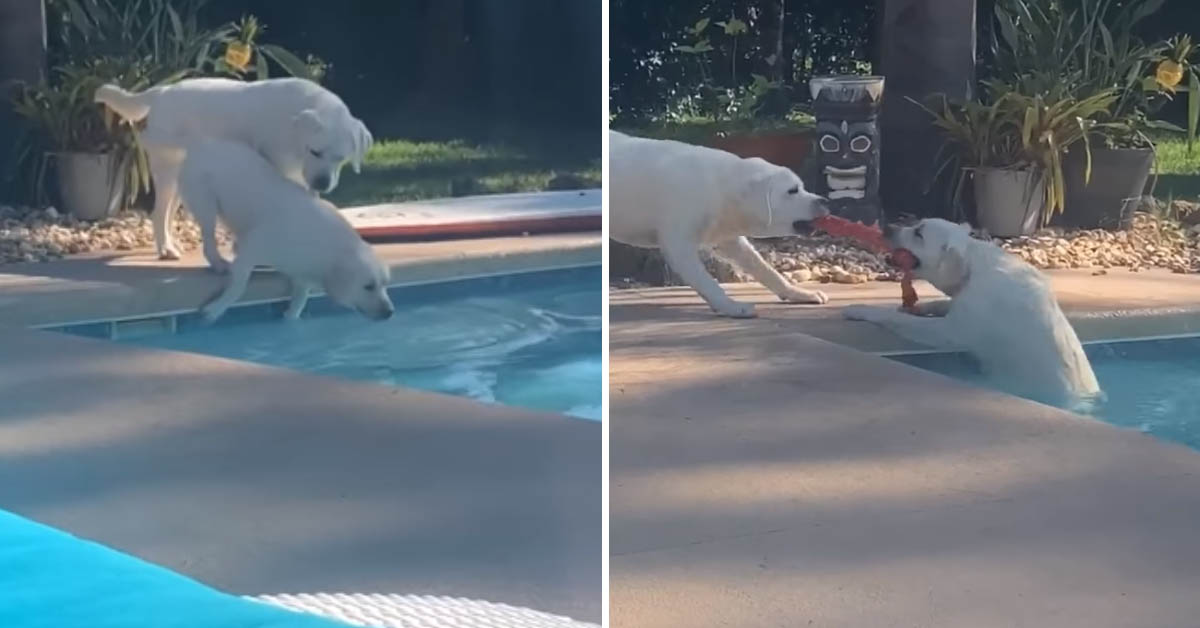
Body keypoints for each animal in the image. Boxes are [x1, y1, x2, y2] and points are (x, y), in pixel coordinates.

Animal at [95, 78, 369, 260]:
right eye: (315, 151)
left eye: (341, 158)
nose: (323, 182)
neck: (292, 125)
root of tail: (163, 90)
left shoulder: (304, 177)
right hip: (167, 171)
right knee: (159, 213)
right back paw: (167, 249)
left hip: (181, 178)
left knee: (168, 212)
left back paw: (171, 245)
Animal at [177, 138, 393, 324]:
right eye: (368, 286)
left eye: (385, 284)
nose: (390, 312)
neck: (326, 247)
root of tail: (203, 144)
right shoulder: (253, 249)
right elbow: (239, 286)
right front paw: (215, 309)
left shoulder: (303, 270)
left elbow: (301, 296)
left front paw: (291, 316)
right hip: (205, 203)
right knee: (208, 234)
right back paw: (219, 263)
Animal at [614, 129, 830, 317]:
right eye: (792, 190)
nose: (825, 201)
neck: (721, 187)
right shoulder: (679, 245)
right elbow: (707, 280)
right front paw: (731, 306)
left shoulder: (729, 237)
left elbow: (763, 267)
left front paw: (798, 293)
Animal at [840, 218, 1099, 410]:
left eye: (919, 233)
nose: (888, 227)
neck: (972, 267)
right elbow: (944, 303)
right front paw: (920, 307)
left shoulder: (948, 333)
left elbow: (899, 319)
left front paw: (861, 309)